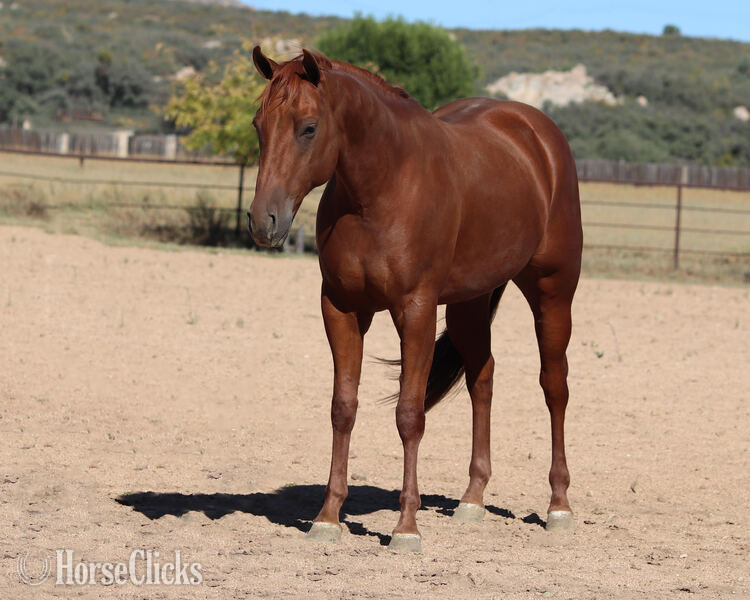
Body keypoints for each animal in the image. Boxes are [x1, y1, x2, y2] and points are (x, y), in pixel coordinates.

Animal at [248, 46, 583, 552]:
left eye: (308, 127)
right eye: (258, 125)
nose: (264, 221)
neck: (381, 188)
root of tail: (537, 133)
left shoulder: (416, 310)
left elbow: (410, 413)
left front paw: (406, 526)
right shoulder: (342, 308)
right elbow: (342, 408)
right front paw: (328, 517)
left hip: (552, 292)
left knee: (554, 386)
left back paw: (558, 505)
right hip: (469, 304)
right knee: (482, 379)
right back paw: (472, 499)